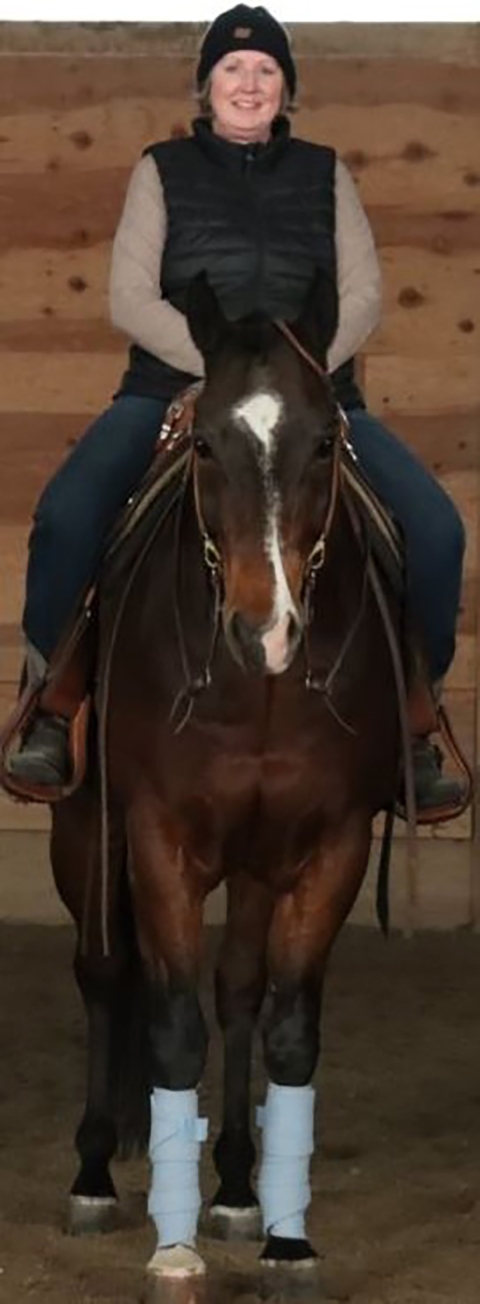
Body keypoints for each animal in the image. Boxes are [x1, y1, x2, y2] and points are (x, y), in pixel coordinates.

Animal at [49, 270, 403, 1297]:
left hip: (253, 864)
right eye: (204, 441)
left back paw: (241, 1185)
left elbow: (284, 1027)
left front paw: (282, 1233)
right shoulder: (158, 838)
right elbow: (171, 1028)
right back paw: (96, 1171)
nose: (266, 629)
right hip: (86, 830)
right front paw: (173, 1245)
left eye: (324, 441)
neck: (260, 694)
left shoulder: (328, 845)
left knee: (239, 988)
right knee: (104, 972)